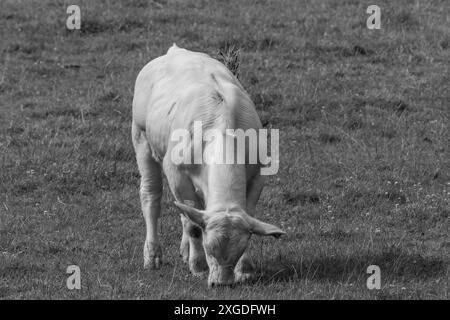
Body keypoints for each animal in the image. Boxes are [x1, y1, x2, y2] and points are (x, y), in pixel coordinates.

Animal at [131, 43, 284, 286]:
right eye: (209, 249)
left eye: (239, 250)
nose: (221, 283)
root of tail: (176, 50)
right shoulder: (177, 175)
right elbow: (193, 226)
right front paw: (198, 266)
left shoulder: (258, 175)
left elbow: (247, 215)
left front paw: (245, 270)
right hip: (141, 137)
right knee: (151, 196)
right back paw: (153, 256)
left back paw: (184, 250)